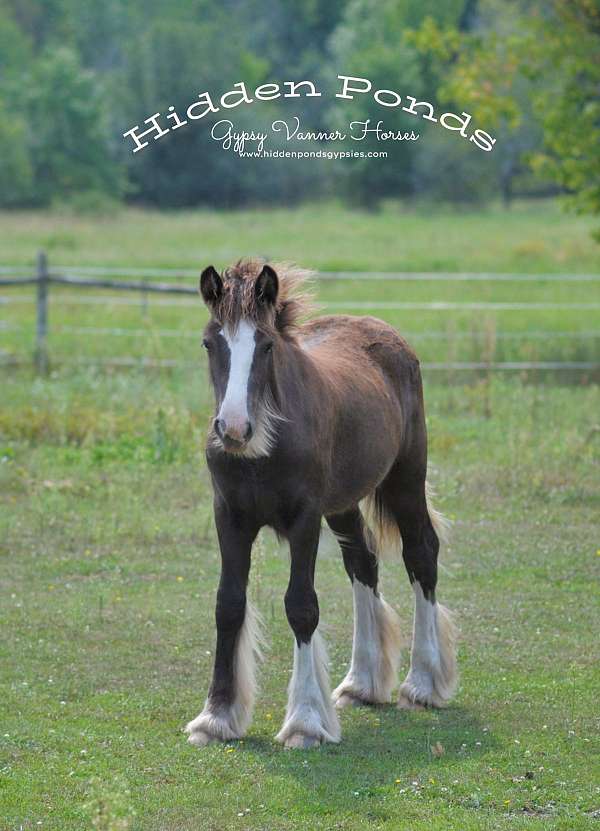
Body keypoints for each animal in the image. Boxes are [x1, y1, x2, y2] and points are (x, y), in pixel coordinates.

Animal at [185, 258, 457, 749]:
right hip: (344, 503)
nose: (234, 429)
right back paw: (361, 684)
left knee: (421, 556)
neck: (266, 446)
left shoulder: (305, 518)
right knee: (363, 563)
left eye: (266, 344)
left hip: (405, 477)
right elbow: (228, 604)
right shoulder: (229, 517)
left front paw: (306, 721)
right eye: (209, 342)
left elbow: (301, 606)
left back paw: (423, 684)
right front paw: (216, 718)